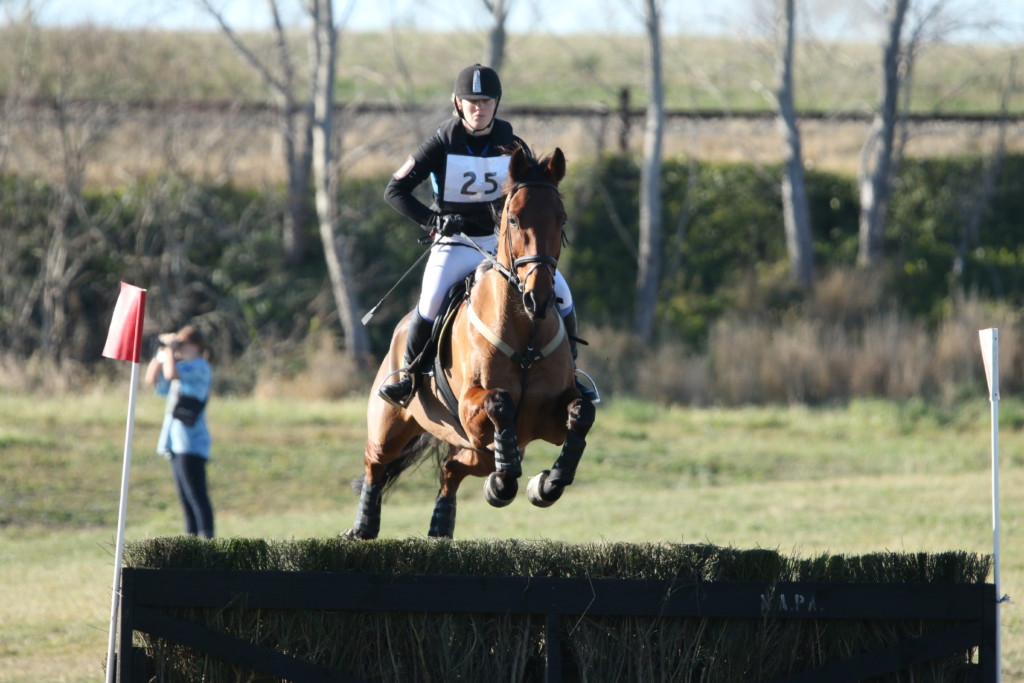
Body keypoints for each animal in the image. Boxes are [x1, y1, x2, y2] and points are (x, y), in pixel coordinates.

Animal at [348, 148, 598, 540]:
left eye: (562, 219)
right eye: (514, 219)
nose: (539, 299)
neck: (526, 336)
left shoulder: (548, 421)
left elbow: (581, 413)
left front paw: (545, 483)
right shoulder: (471, 408)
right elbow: (500, 402)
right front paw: (507, 477)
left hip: (473, 448)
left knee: (452, 468)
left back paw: (444, 522)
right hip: (392, 422)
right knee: (376, 461)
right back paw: (363, 525)